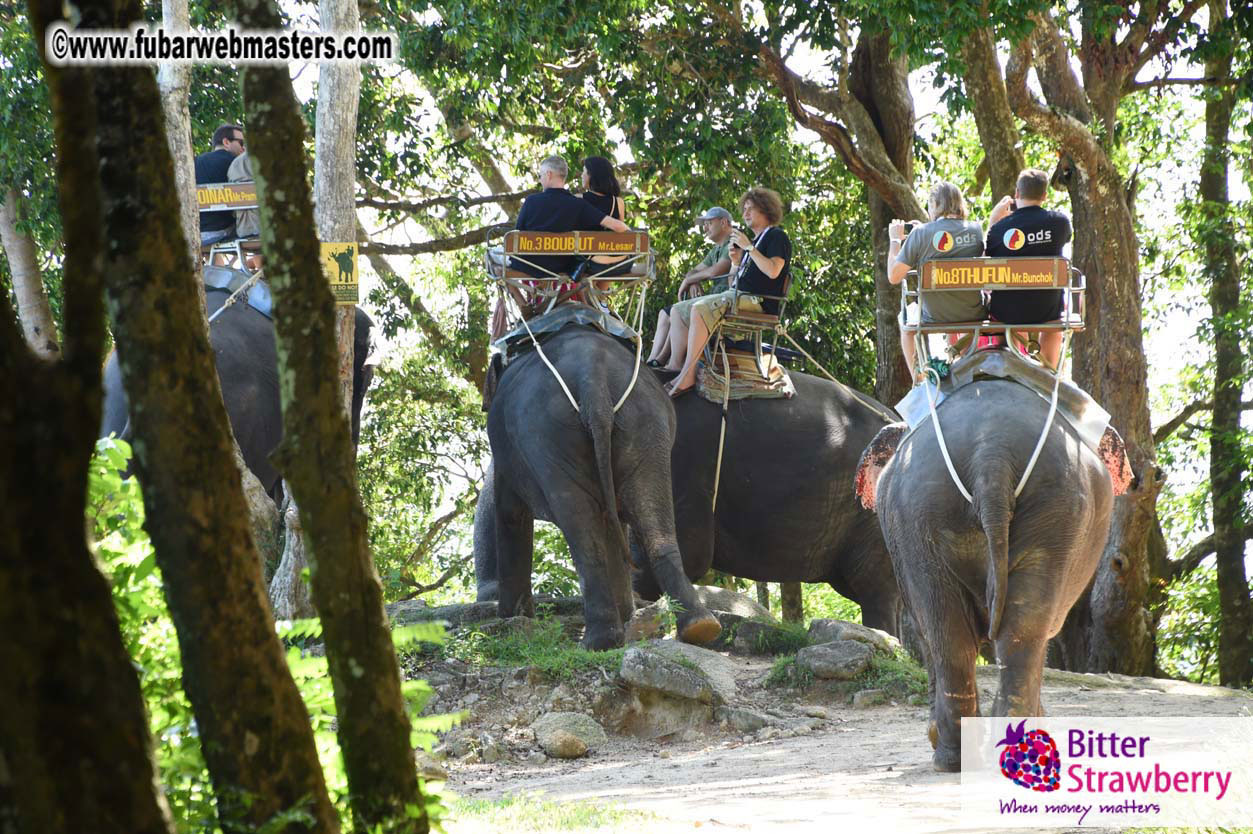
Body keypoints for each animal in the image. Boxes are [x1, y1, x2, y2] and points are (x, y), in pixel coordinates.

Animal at [481, 323, 721, 650]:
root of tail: (592, 379)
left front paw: (511, 618)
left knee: (580, 526)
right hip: (646, 425)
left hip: (546, 433)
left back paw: (598, 641)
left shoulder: (504, 451)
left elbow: (510, 513)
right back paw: (700, 628)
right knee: (655, 521)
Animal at [859, 369, 1123, 772]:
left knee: (962, 634)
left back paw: (967, 755)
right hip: (1041, 507)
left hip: (940, 509)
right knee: (1005, 631)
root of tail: (991, 453)